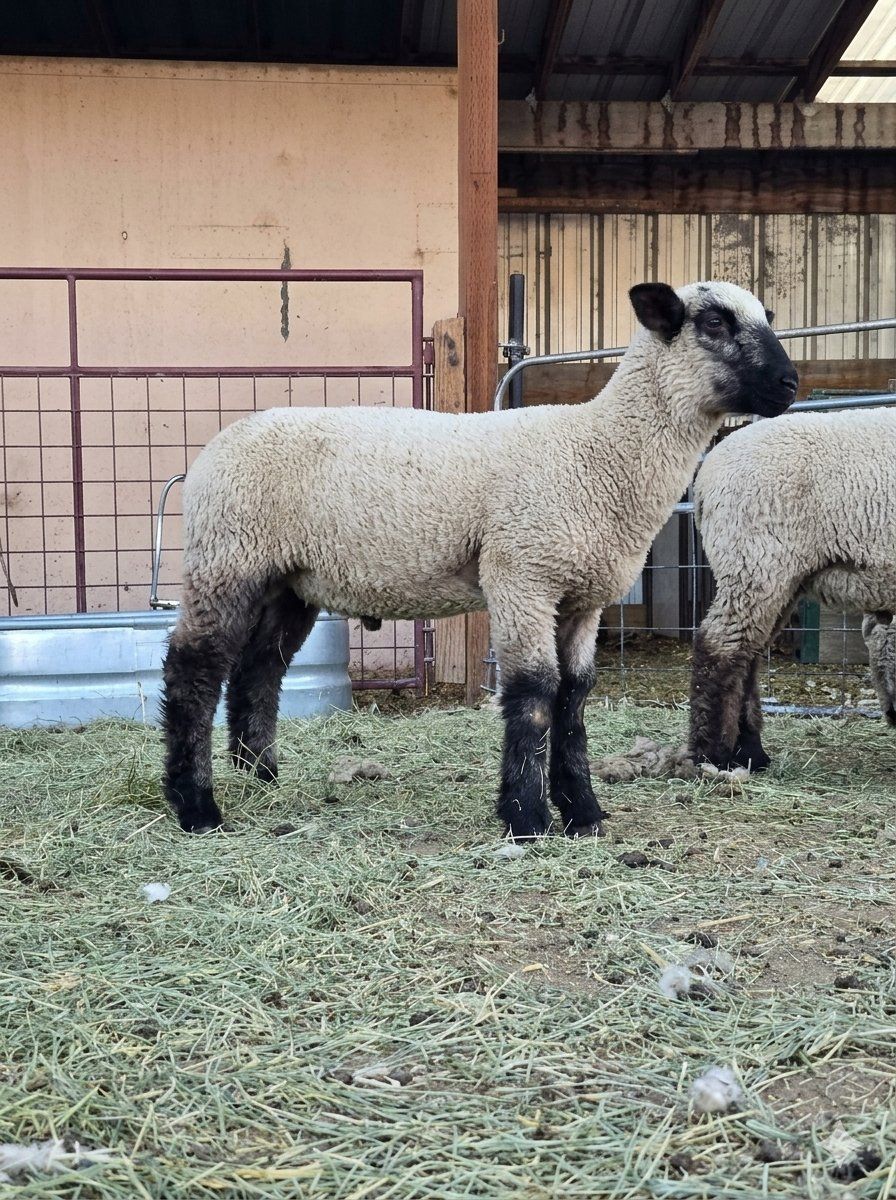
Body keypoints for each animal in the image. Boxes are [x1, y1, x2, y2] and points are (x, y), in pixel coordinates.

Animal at [160, 281, 798, 836]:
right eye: (714, 322)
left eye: (766, 315)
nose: (791, 383)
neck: (598, 451)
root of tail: (217, 447)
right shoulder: (522, 574)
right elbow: (534, 692)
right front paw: (528, 818)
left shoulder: (582, 597)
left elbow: (574, 696)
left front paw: (583, 813)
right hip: (227, 558)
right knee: (193, 667)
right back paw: (197, 806)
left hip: (288, 582)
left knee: (258, 669)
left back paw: (261, 774)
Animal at [689, 408, 896, 771]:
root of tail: (707, 476)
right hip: (756, 559)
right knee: (720, 646)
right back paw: (713, 755)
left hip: (778, 576)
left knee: (749, 655)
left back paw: (750, 752)